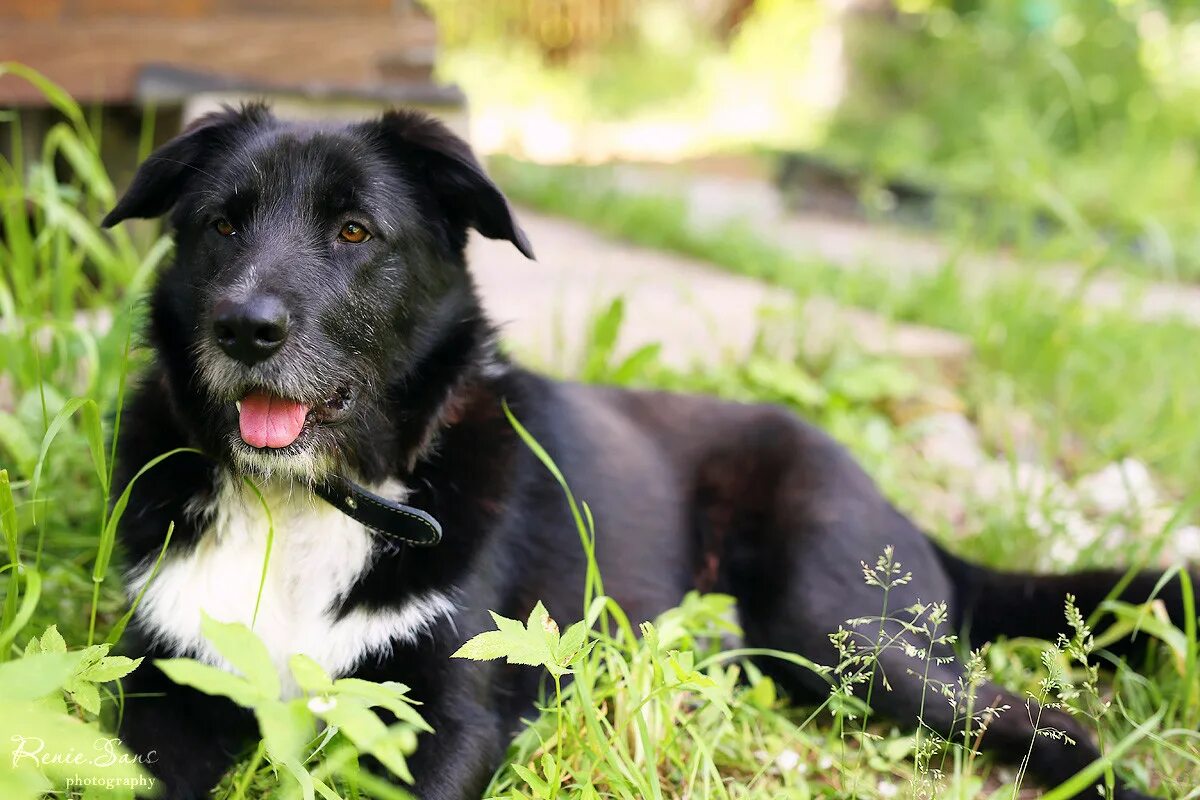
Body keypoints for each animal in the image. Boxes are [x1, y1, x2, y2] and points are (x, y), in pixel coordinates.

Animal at [103, 106, 1190, 800]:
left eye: (355, 231)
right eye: (222, 222)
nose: (244, 328)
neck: (311, 500)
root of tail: (901, 508)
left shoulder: (450, 711)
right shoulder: (168, 690)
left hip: (843, 627)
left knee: (1055, 726)